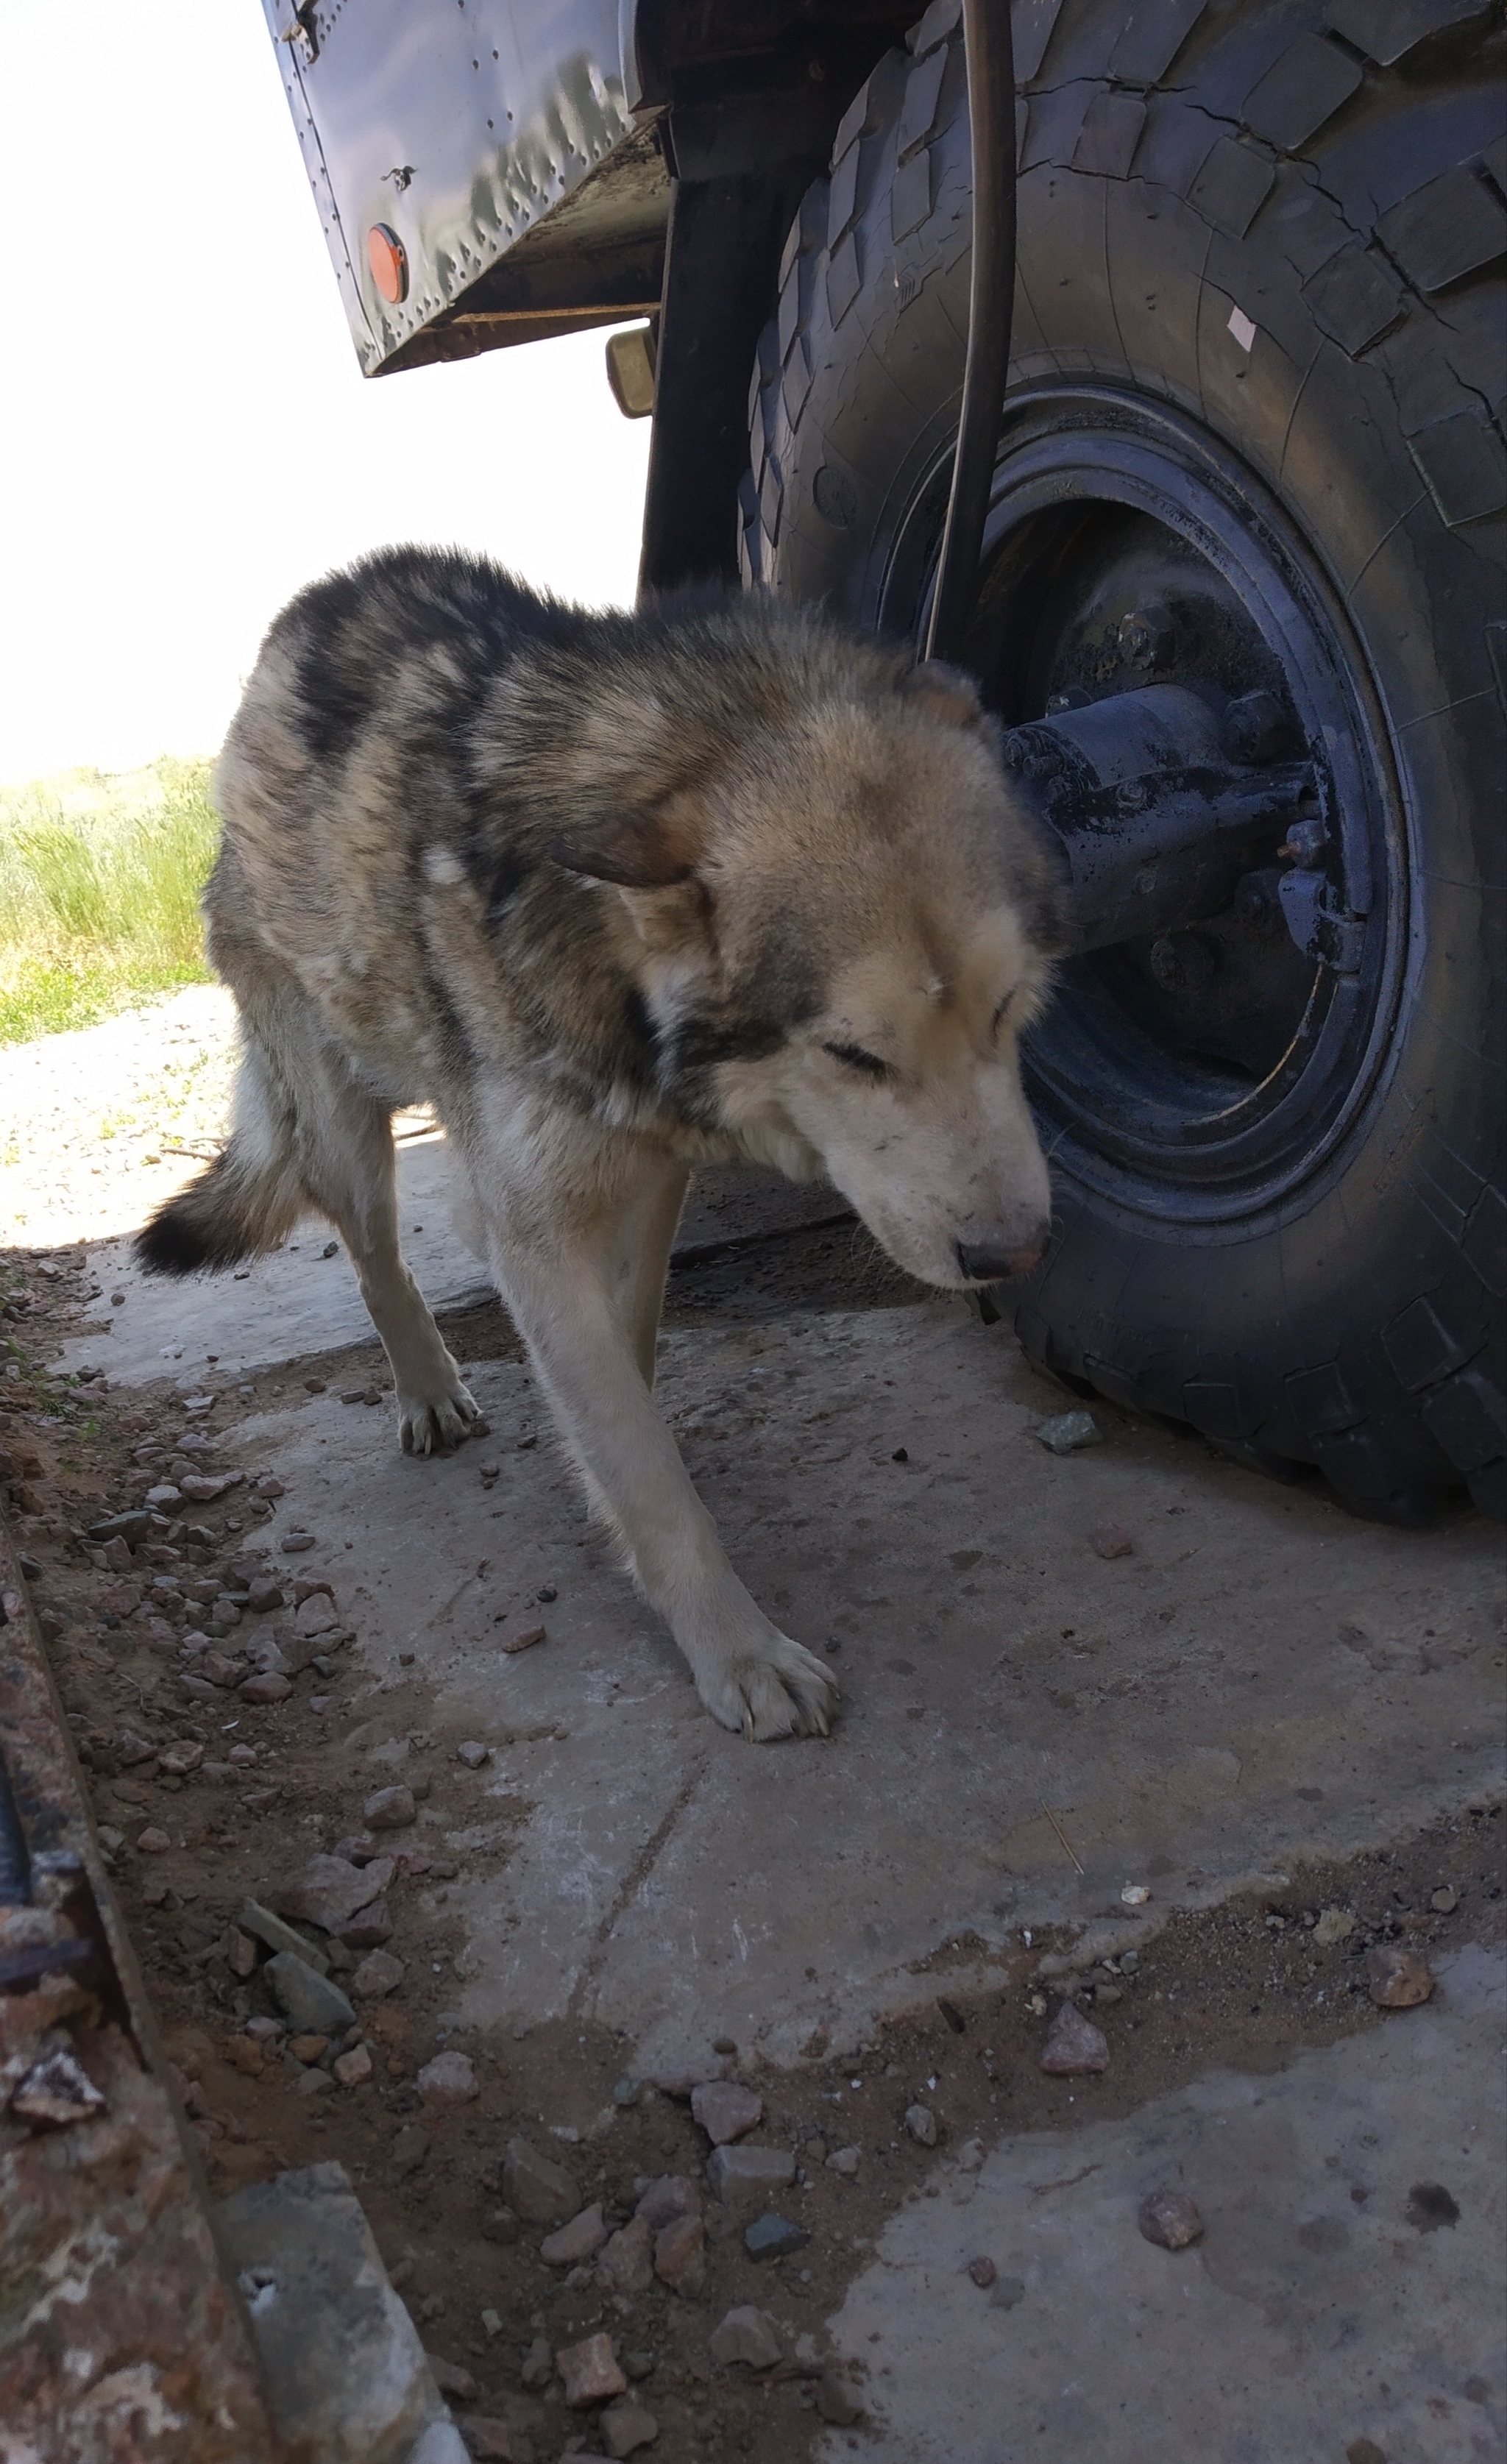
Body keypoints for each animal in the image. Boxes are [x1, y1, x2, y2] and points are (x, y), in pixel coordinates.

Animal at [138, 554, 1058, 1754]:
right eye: (853, 1053)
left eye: (1008, 1008)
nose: (1013, 1256)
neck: (603, 965)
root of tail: (308, 611)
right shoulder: (528, 1231)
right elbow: (641, 1462)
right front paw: (740, 1653)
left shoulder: (652, 1178)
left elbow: (627, 1370)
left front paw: (608, 1489)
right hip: (343, 1131)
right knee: (377, 1263)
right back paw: (428, 1393)